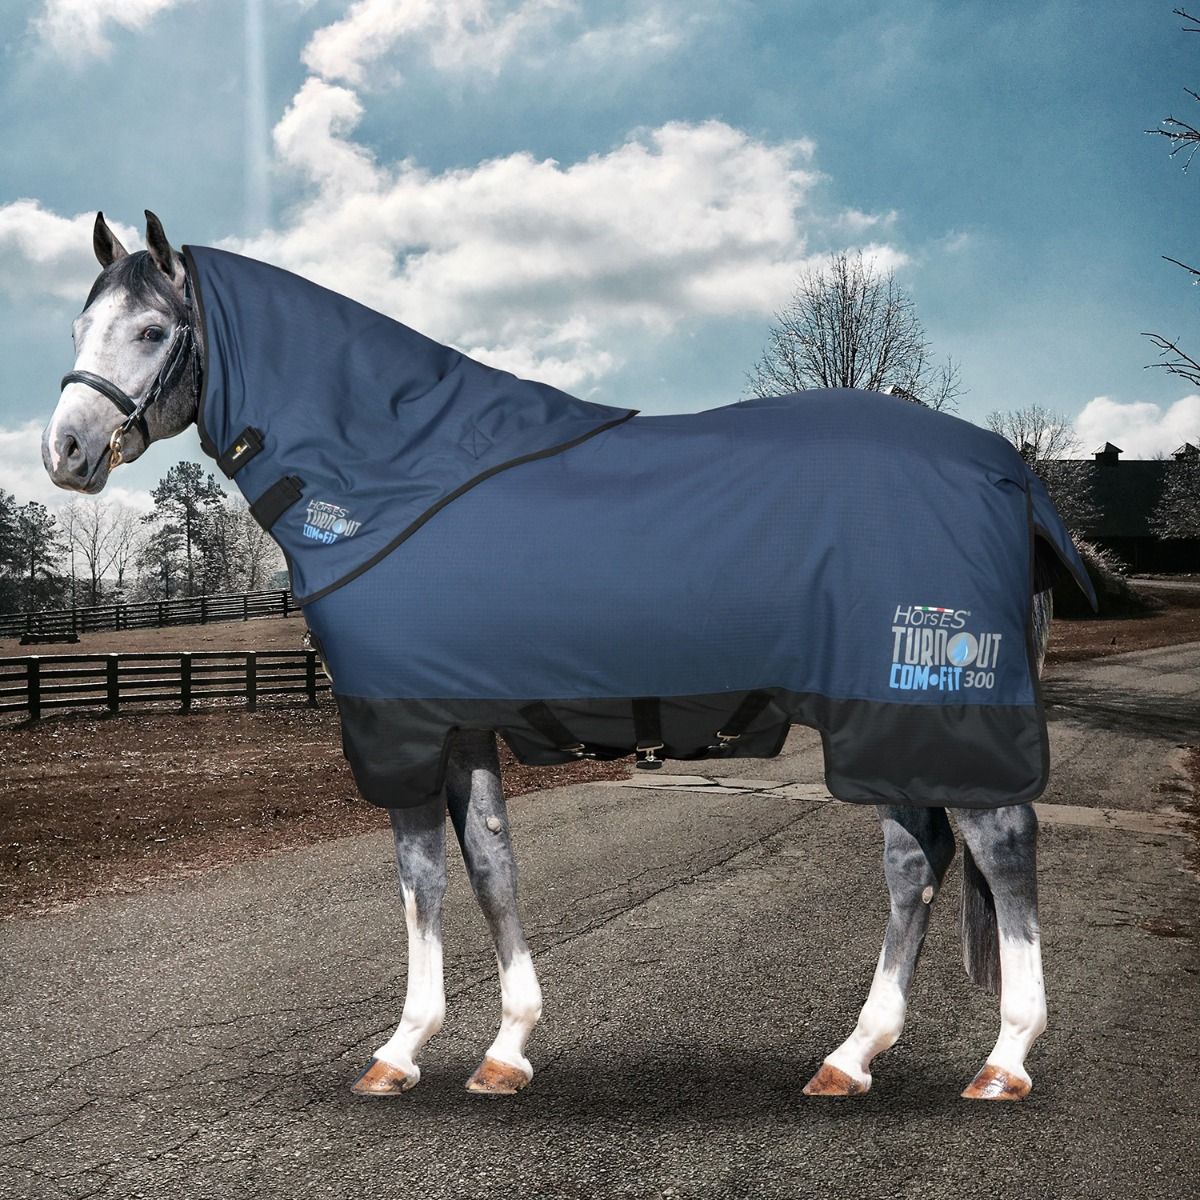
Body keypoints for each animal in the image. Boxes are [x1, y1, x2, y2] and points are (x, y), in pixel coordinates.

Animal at [42, 210, 1088, 1102]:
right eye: (78, 327)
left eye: (149, 331)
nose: (65, 452)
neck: (387, 471)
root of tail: (1006, 467)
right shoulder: (457, 722)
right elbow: (491, 868)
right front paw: (505, 1047)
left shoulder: (400, 727)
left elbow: (422, 881)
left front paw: (401, 1049)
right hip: (890, 722)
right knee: (920, 864)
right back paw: (854, 1056)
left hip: (927, 706)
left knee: (998, 849)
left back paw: (1004, 1061)